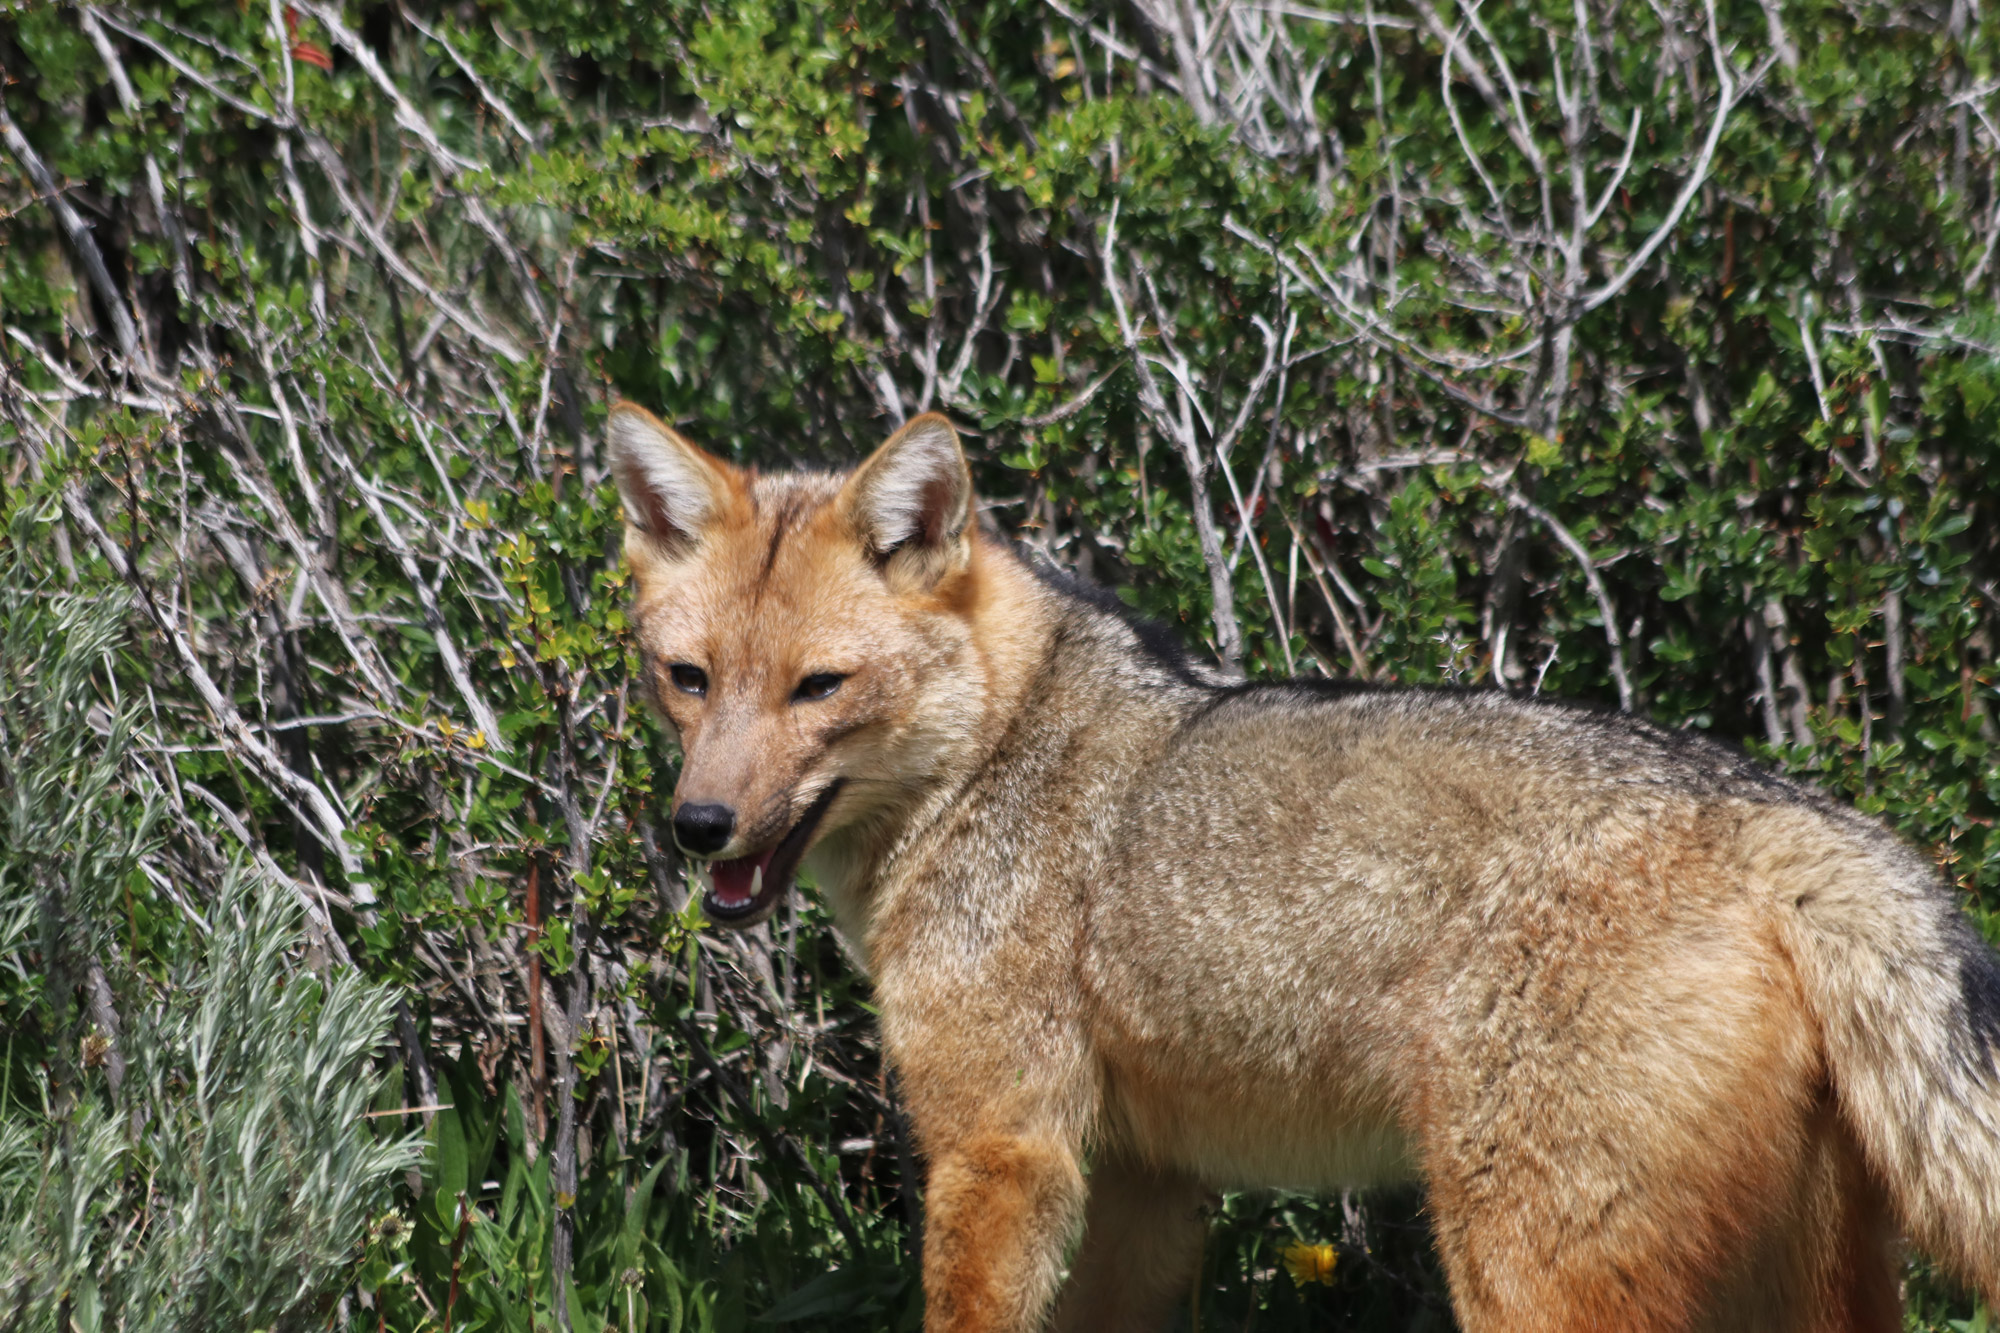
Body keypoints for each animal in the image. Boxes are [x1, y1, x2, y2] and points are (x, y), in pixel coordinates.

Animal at [604, 396, 2000, 1328]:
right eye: (689, 679)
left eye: (818, 688)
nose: (698, 827)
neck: (997, 748)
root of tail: (1790, 817)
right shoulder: (1144, 1183)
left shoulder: (1003, 1150)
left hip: (1523, 1268)